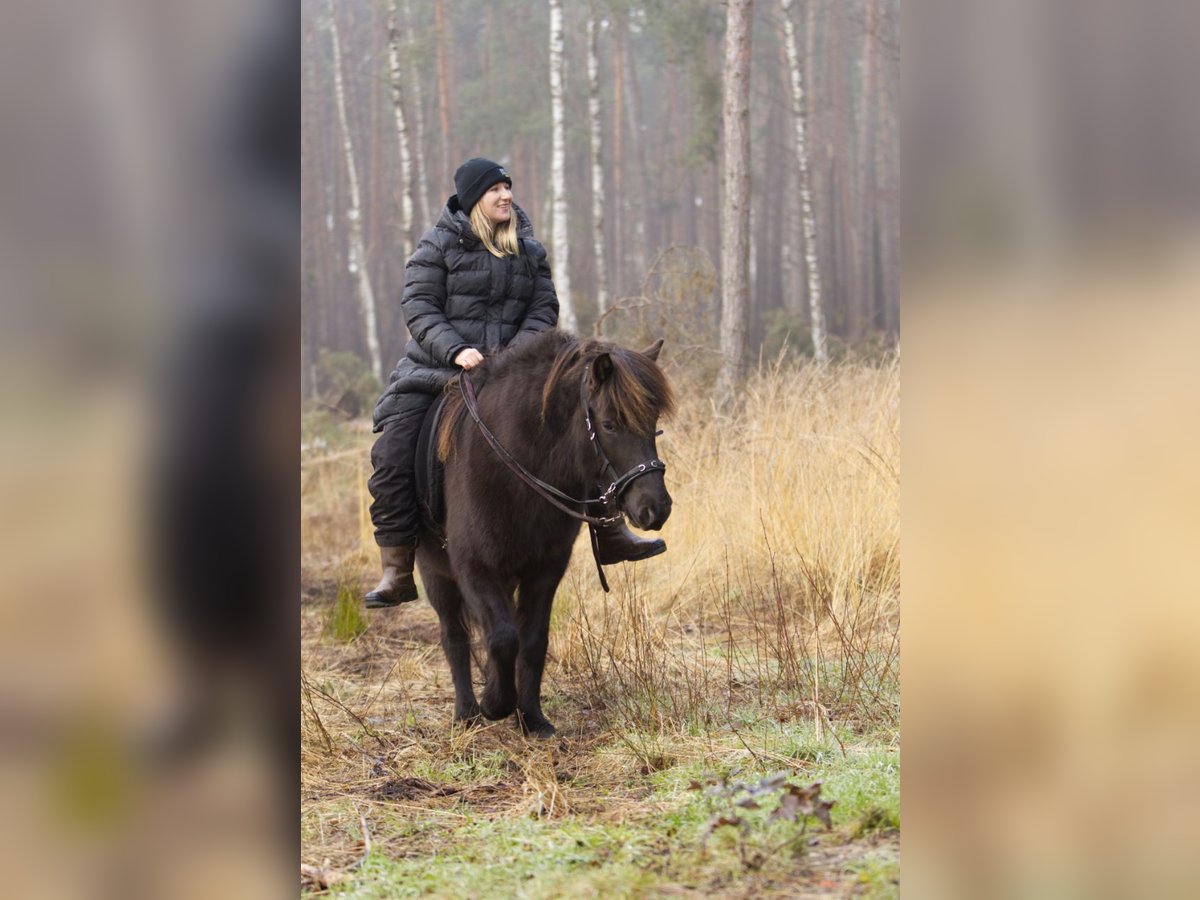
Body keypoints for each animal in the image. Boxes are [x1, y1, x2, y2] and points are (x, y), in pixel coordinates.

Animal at [420, 331, 676, 739]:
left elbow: (532, 638)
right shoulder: (474, 568)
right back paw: (466, 714)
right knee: (454, 635)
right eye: (609, 424)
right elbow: (501, 636)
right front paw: (495, 703)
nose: (656, 508)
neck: (516, 469)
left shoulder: (545, 569)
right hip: (436, 576)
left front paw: (531, 717)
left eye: (652, 421)